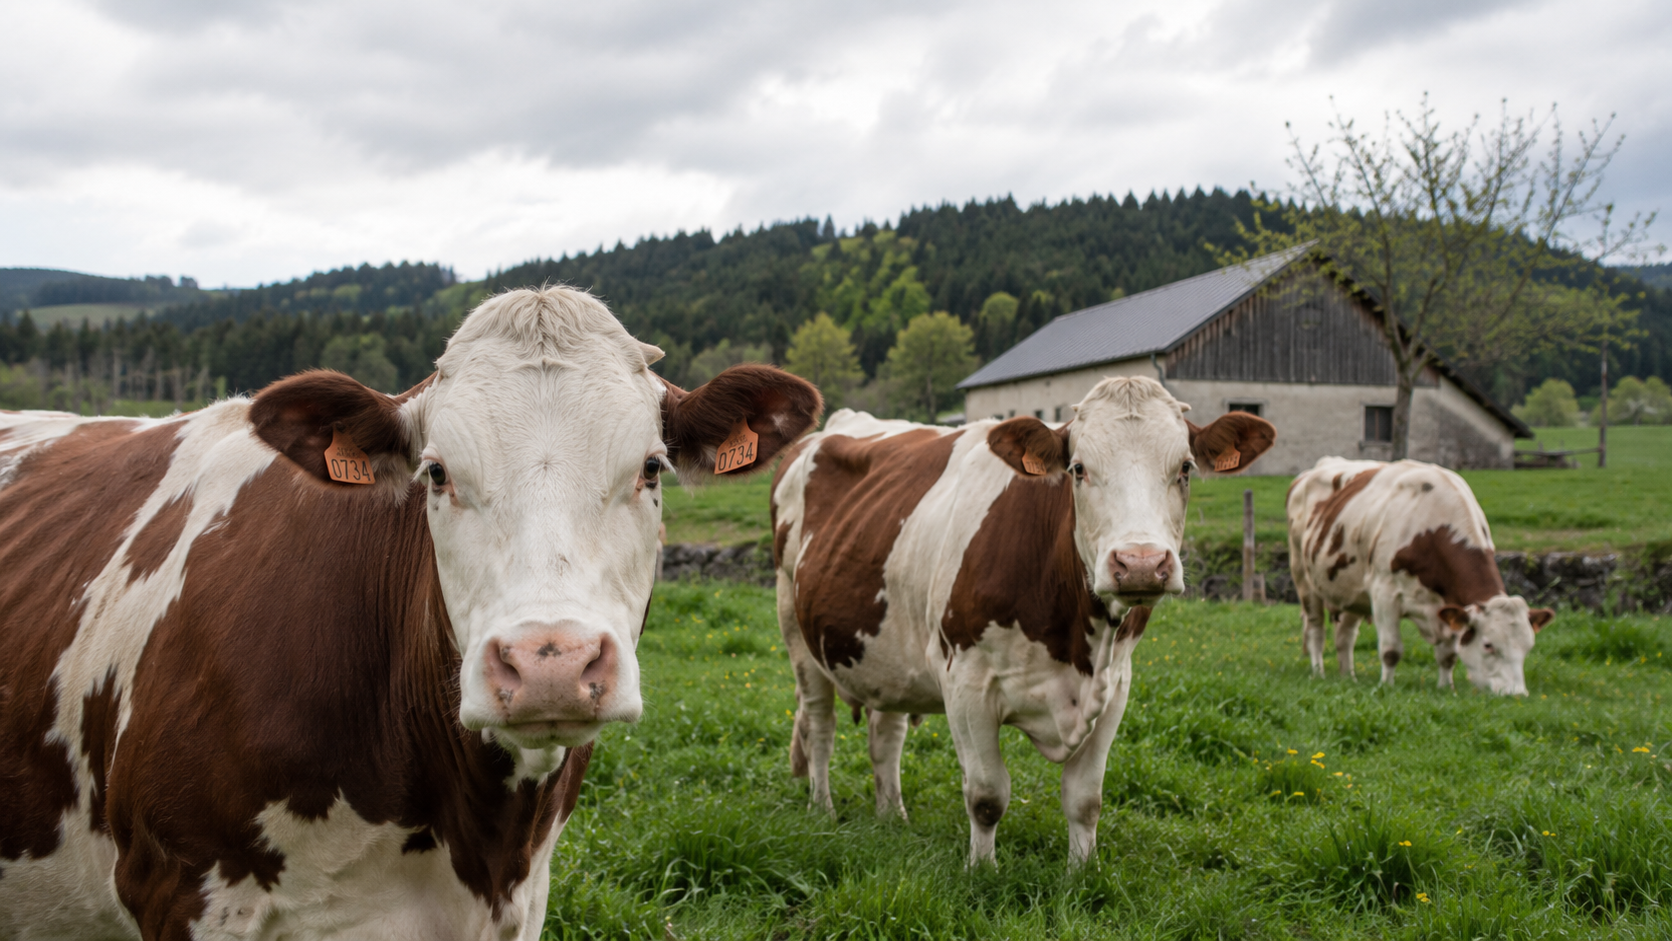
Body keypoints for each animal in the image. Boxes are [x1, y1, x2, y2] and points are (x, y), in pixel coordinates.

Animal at [770, 376, 1274, 865]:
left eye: (1185, 468)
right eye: (1078, 469)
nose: (1141, 563)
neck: (1072, 645)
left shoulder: (1116, 685)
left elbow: (1085, 800)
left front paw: (1081, 874)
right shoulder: (965, 684)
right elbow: (986, 796)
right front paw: (982, 872)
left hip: (887, 649)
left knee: (885, 735)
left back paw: (893, 816)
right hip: (796, 630)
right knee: (819, 725)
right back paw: (822, 809)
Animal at [1286, 457, 1555, 696]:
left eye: (1528, 646)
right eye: (1488, 645)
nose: (1516, 694)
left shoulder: (1448, 604)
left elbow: (1448, 655)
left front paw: (1447, 688)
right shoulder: (1384, 594)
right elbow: (1391, 650)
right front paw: (1386, 686)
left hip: (1350, 590)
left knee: (1345, 637)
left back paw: (1348, 677)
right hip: (1303, 576)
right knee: (1316, 629)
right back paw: (1318, 672)